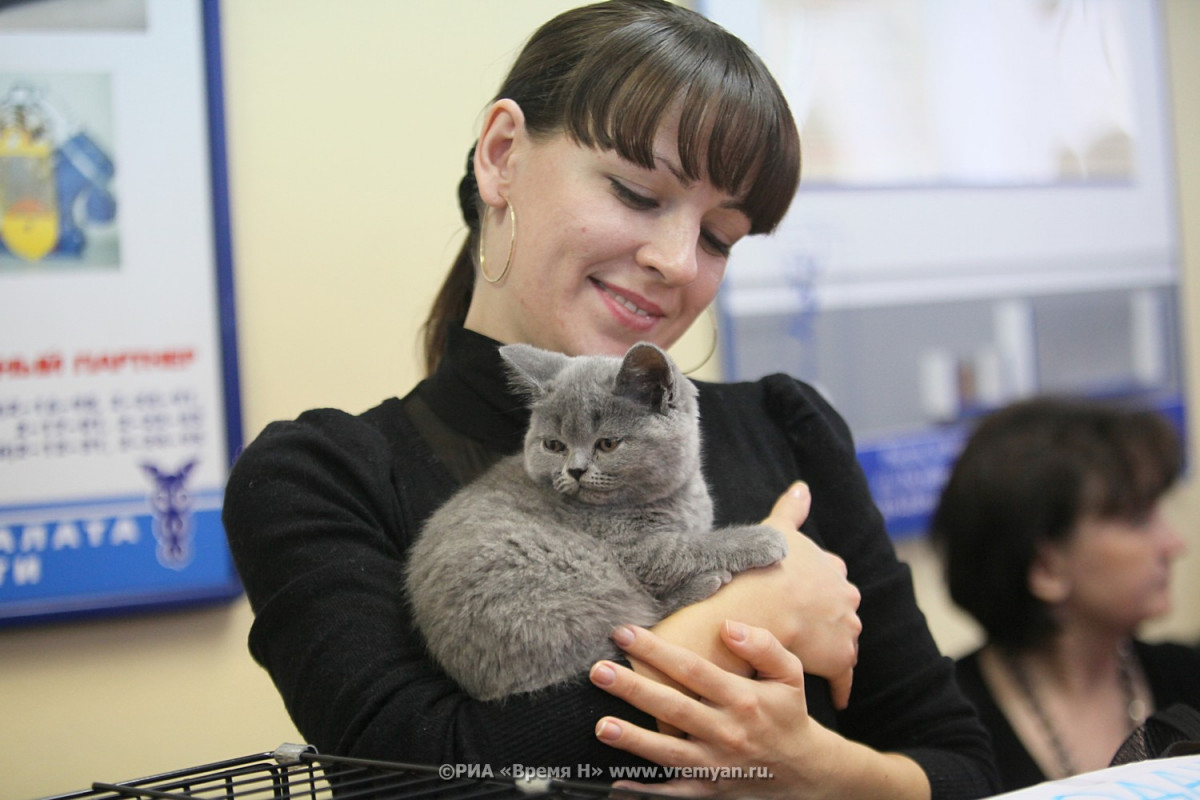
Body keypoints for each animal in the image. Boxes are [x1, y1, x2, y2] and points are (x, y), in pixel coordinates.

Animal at [408, 340, 787, 695]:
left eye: (607, 444)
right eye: (554, 446)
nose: (574, 470)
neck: (675, 497)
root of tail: (476, 681)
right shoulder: (637, 551)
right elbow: (691, 548)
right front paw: (760, 538)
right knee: (633, 624)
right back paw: (705, 584)